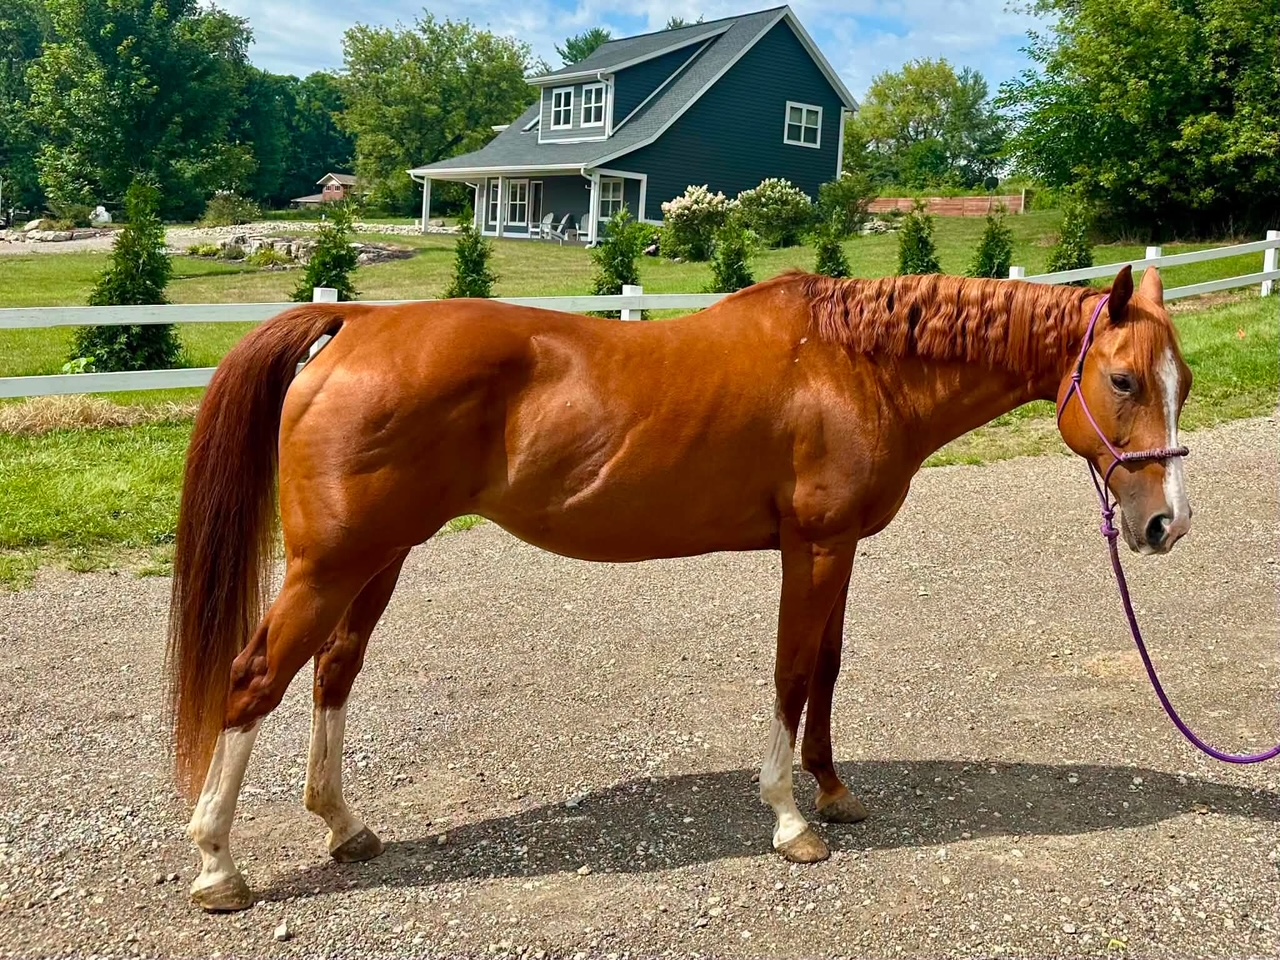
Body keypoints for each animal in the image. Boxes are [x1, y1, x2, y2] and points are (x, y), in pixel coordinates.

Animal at [167, 264, 1192, 911]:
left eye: (1180, 381)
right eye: (1125, 380)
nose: (1165, 524)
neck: (854, 364)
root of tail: (362, 323)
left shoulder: (839, 550)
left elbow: (827, 669)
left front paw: (832, 789)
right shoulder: (813, 550)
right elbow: (790, 675)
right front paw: (791, 819)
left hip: (379, 560)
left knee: (334, 673)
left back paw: (344, 826)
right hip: (332, 566)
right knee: (255, 681)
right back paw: (217, 868)